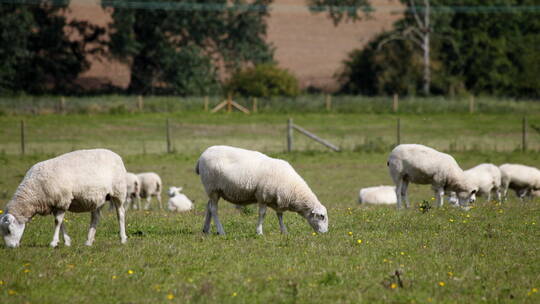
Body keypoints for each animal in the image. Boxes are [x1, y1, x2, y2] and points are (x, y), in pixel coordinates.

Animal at [194, 145, 330, 235]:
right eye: (322, 217)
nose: (325, 233)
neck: (293, 189)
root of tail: (202, 155)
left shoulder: (278, 199)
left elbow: (280, 215)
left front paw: (284, 231)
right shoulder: (263, 196)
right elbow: (262, 214)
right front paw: (259, 232)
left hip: (214, 191)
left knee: (208, 206)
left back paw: (206, 229)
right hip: (212, 187)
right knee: (214, 209)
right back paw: (221, 231)